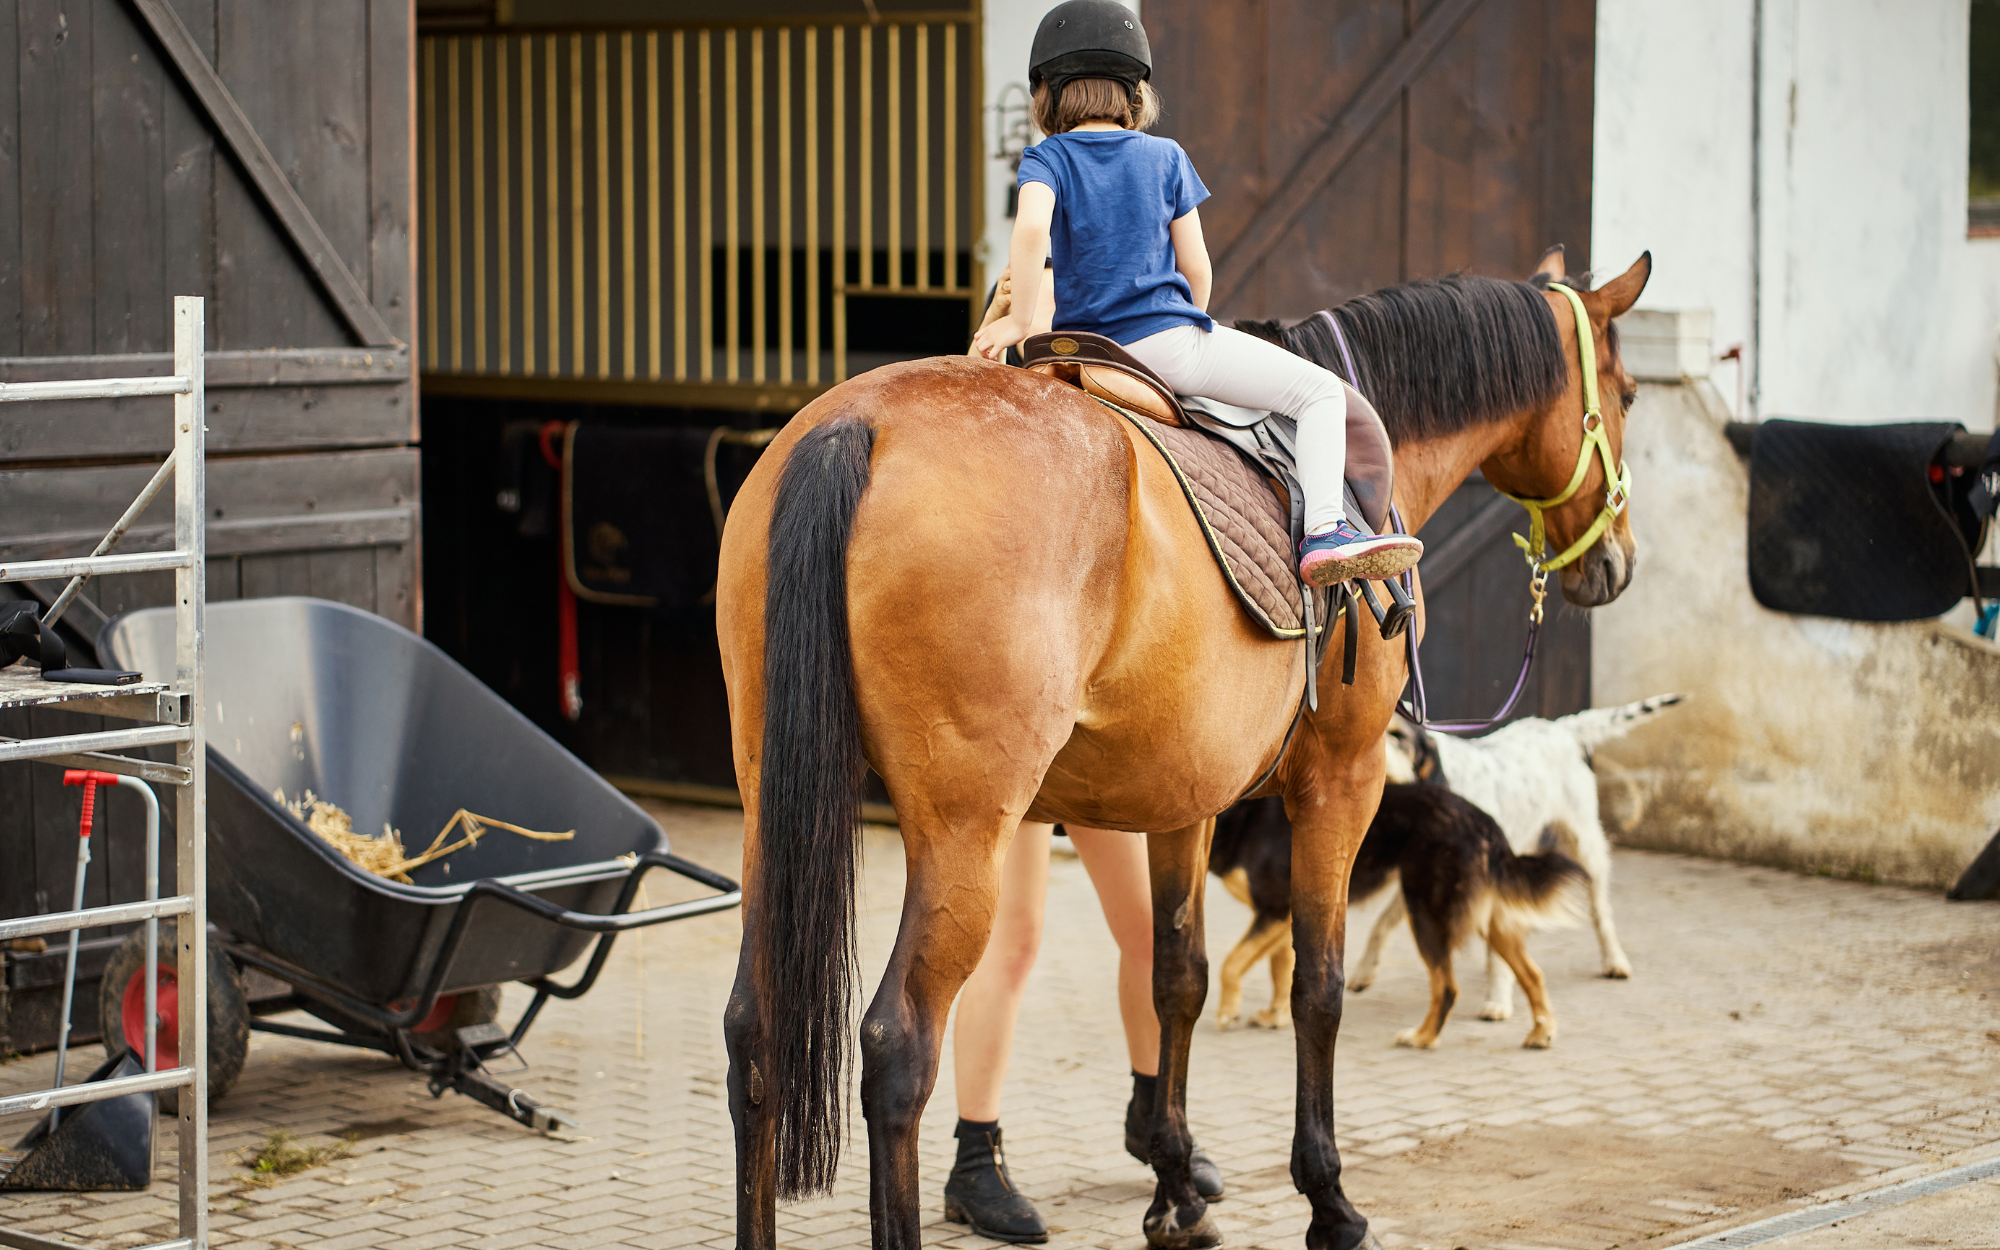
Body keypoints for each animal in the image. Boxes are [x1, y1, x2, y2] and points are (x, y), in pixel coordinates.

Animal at [715, 248, 1651, 1250]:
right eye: (1630, 393)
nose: (1616, 562)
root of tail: (856, 422)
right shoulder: (1344, 779)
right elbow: (1318, 983)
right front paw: (1328, 1199)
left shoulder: (1184, 800)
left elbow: (1178, 979)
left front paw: (1173, 1188)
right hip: (963, 832)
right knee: (898, 1046)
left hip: (775, 809)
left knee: (754, 1032)